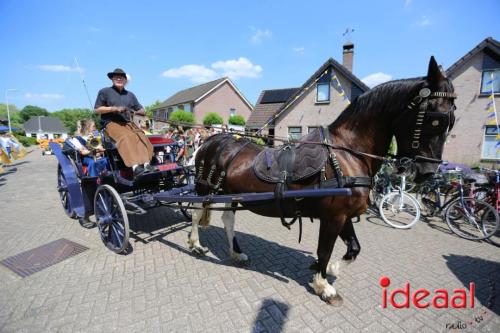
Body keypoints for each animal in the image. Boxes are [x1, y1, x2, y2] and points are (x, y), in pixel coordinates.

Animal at [186, 57, 456, 304]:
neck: (348, 152)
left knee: (227, 219)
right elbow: (325, 250)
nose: (428, 172)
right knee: (197, 214)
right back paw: (195, 244)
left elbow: (353, 248)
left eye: (451, 121)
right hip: (205, 190)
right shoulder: (333, 217)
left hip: (229, 193)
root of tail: (212, 141)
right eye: (436, 118)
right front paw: (323, 285)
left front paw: (328, 270)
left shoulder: (344, 215)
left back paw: (236, 253)